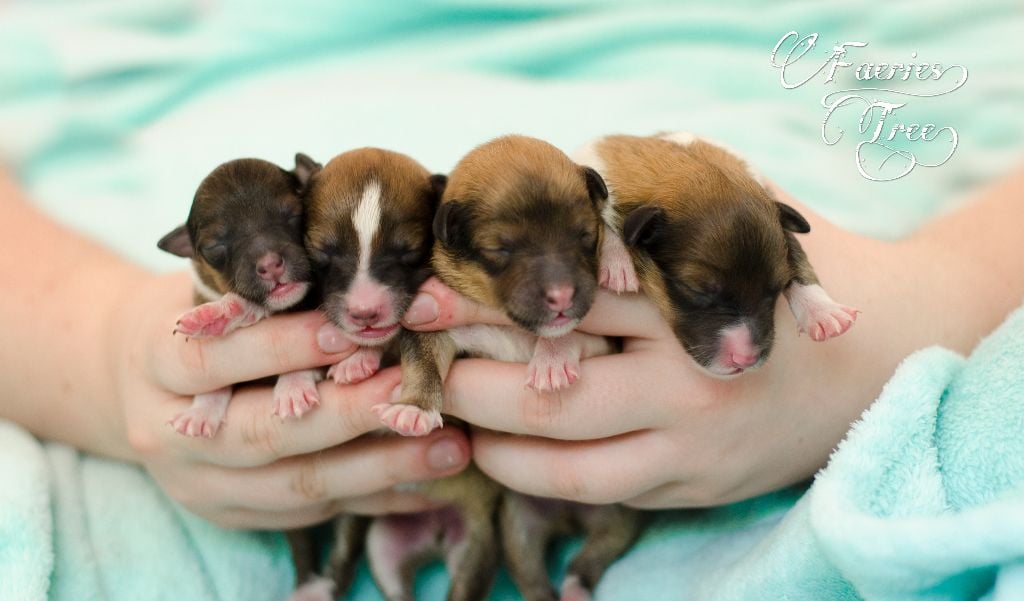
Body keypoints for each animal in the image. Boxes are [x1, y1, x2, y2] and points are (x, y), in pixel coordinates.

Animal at [154, 155, 315, 438]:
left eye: (295, 214)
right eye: (214, 246)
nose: (270, 264)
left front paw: (294, 387)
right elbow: (213, 384)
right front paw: (202, 410)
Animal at [573, 132, 860, 376]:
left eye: (777, 288)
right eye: (696, 290)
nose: (745, 359)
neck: (693, 165)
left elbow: (797, 255)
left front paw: (824, 313)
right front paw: (617, 263)